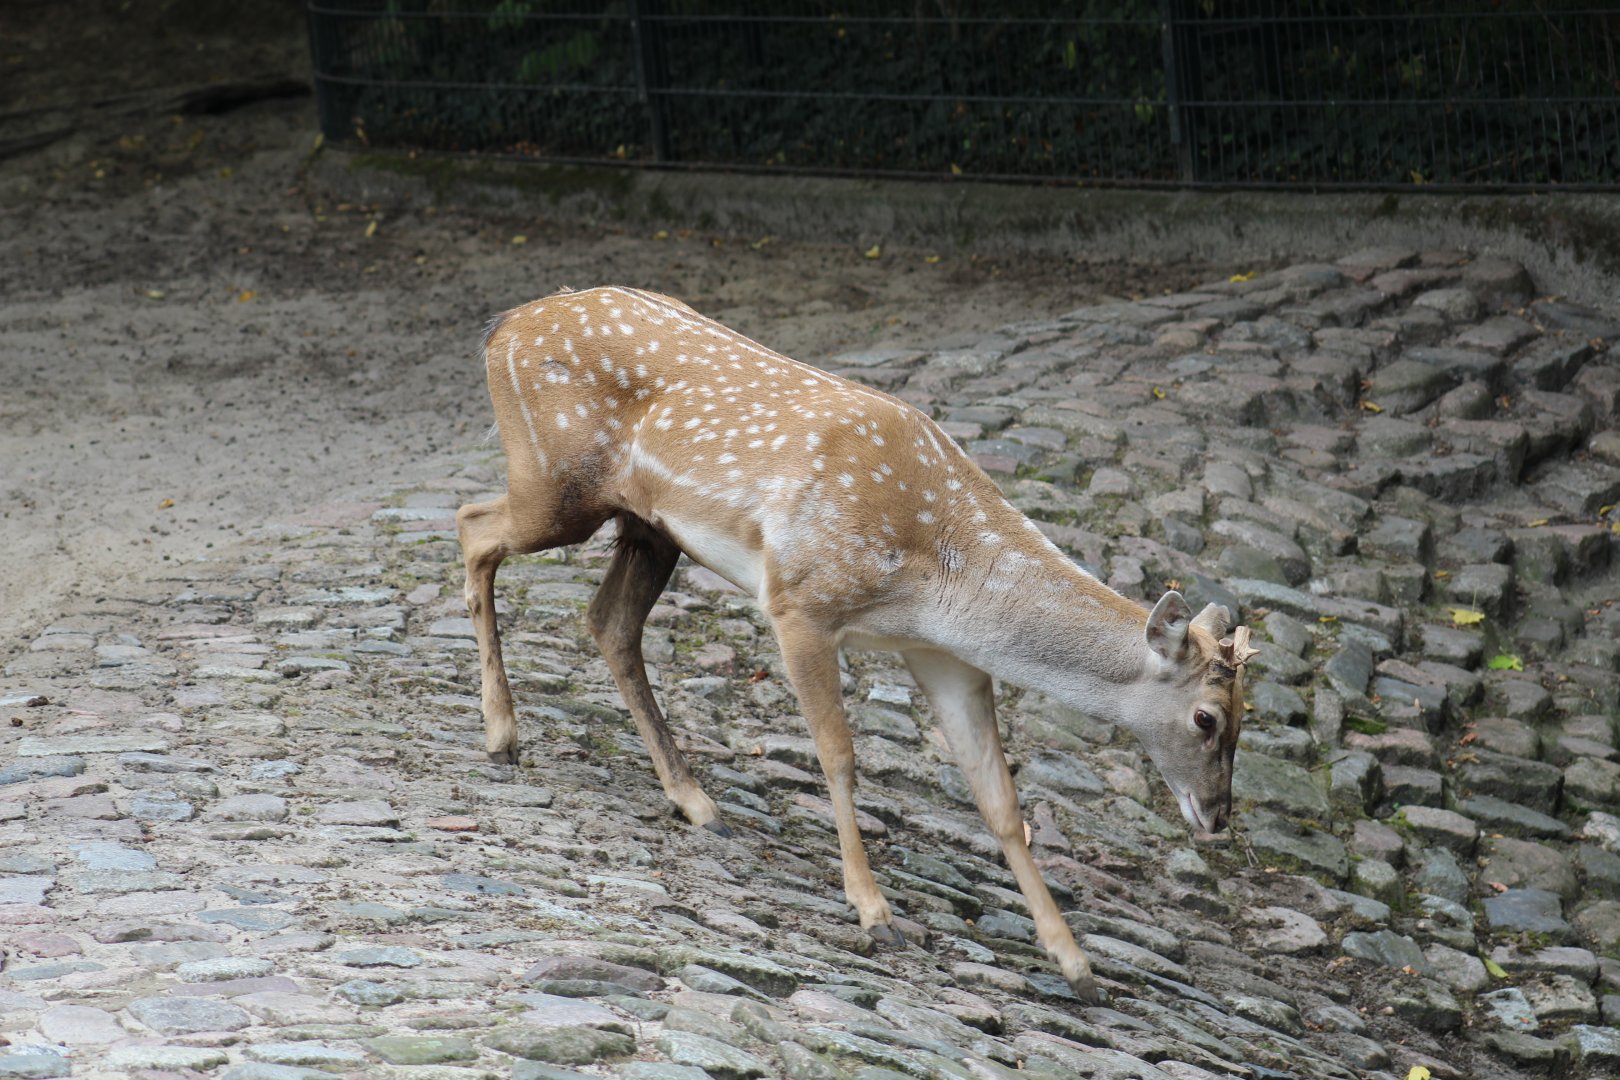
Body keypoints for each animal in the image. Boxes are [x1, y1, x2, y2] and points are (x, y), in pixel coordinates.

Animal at [456, 285, 1257, 1003]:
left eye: (1246, 721)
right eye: (1206, 718)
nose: (1217, 816)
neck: (939, 579)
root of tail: (501, 329)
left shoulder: (948, 660)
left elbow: (1001, 801)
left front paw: (1076, 965)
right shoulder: (800, 601)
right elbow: (840, 755)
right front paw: (875, 913)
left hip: (649, 525)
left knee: (607, 621)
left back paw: (694, 800)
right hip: (557, 484)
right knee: (472, 524)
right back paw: (502, 735)